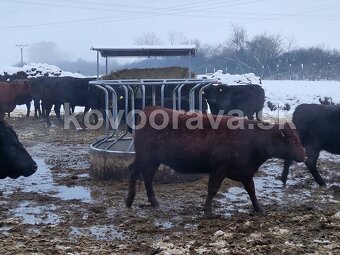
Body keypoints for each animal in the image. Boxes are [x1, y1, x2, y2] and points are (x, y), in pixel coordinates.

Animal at [126, 106, 306, 216]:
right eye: (293, 140)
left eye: (299, 138)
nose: (304, 156)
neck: (250, 138)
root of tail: (149, 110)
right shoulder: (219, 170)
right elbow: (212, 189)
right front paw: (207, 211)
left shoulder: (246, 172)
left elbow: (252, 190)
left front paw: (259, 208)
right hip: (144, 157)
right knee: (135, 174)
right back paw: (129, 200)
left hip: (153, 161)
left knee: (147, 178)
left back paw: (154, 202)